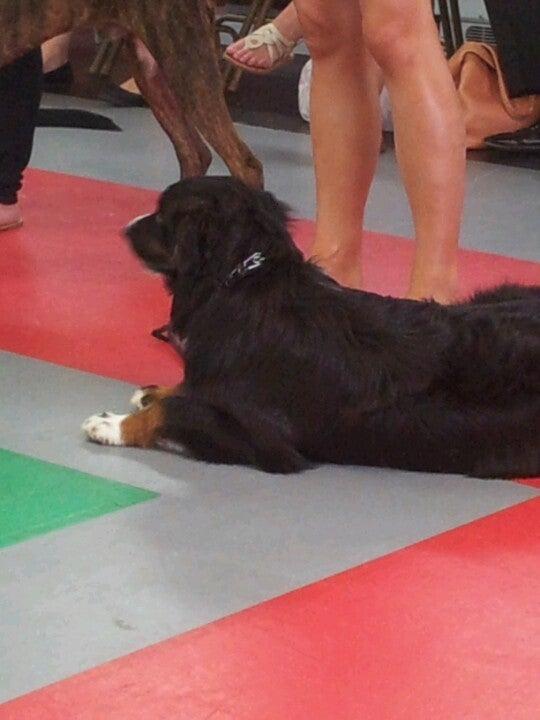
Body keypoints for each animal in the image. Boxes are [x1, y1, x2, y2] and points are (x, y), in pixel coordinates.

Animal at [82, 176, 540, 478]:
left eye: (163, 216)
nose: (124, 228)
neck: (241, 281)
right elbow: (184, 392)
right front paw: (156, 390)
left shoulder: (259, 436)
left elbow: (172, 412)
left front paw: (112, 425)